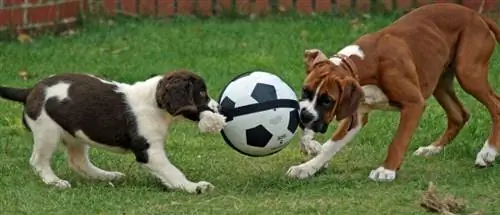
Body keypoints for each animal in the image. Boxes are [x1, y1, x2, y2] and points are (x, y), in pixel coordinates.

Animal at [0, 69, 227, 194]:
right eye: (201, 93)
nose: (219, 108)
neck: (154, 102)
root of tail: (30, 91)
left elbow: (166, 172)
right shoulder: (148, 151)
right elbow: (172, 170)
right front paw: (192, 186)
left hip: (76, 132)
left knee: (78, 161)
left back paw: (106, 176)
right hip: (47, 131)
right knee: (38, 160)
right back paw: (54, 181)